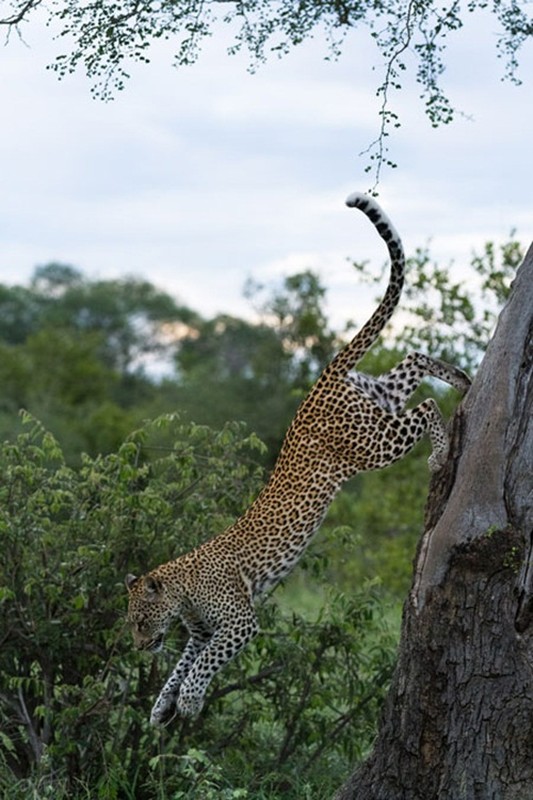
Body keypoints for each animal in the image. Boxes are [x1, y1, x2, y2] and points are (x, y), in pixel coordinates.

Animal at [124, 192, 470, 724]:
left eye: (142, 620)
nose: (140, 647)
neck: (183, 589)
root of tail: (317, 385)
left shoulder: (238, 623)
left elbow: (202, 665)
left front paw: (188, 699)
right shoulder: (201, 633)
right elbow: (183, 663)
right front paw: (163, 706)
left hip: (372, 443)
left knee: (426, 407)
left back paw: (439, 450)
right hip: (377, 400)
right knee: (413, 359)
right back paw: (460, 377)